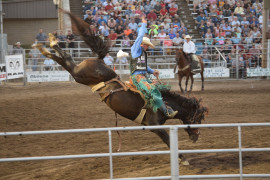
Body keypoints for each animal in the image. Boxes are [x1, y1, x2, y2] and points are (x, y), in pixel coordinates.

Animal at [35, 10, 208, 165]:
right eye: (198, 118)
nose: (197, 137)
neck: (164, 104)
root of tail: (100, 60)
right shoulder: (155, 126)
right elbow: (168, 140)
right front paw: (183, 159)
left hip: (80, 75)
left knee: (66, 59)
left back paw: (46, 45)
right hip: (80, 74)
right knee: (67, 60)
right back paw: (49, 43)